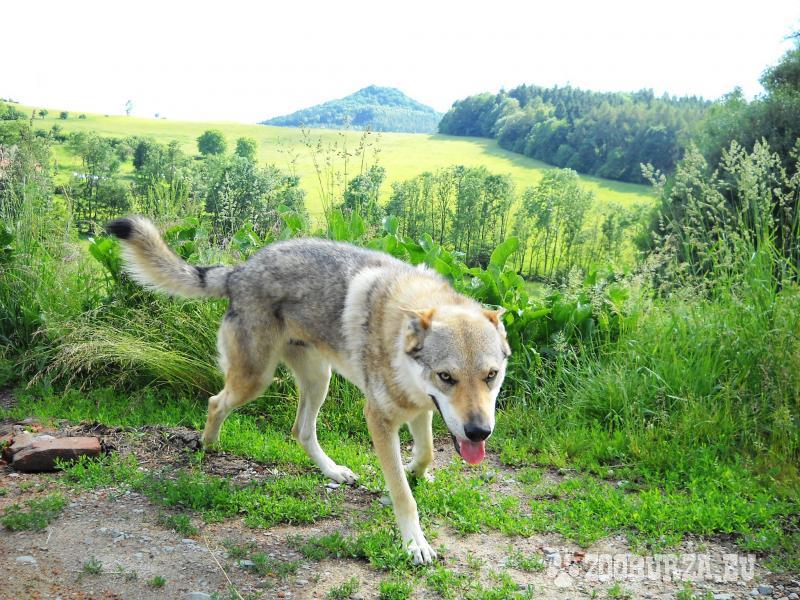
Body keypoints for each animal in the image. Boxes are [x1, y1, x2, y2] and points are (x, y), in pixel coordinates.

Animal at [106, 216, 510, 564]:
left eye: (491, 375)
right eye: (447, 377)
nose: (480, 432)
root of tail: (240, 270)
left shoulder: (421, 408)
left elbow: (424, 454)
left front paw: (414, 469)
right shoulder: (379, 417)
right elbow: (402, 495)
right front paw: (415, 543)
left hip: (319, 379)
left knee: (300, 430)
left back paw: (333, 472)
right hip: (256, 380)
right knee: (216, 402)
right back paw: (209, 446)